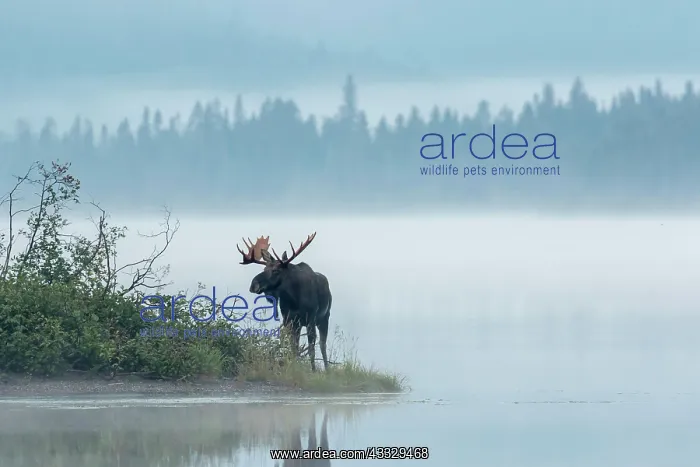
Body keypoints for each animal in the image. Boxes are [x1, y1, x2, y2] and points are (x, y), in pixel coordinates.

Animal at [237, 232, 332, 371]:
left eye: (276, 270)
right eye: (264, 269)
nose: (254, 285)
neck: (294, 299)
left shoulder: (310, 319)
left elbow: (311, 349)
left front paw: (313, 371)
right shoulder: (289, 320)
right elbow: (293, 349)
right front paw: (294, 367)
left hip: (324, 317)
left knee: (322, 344)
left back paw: (327, 369)